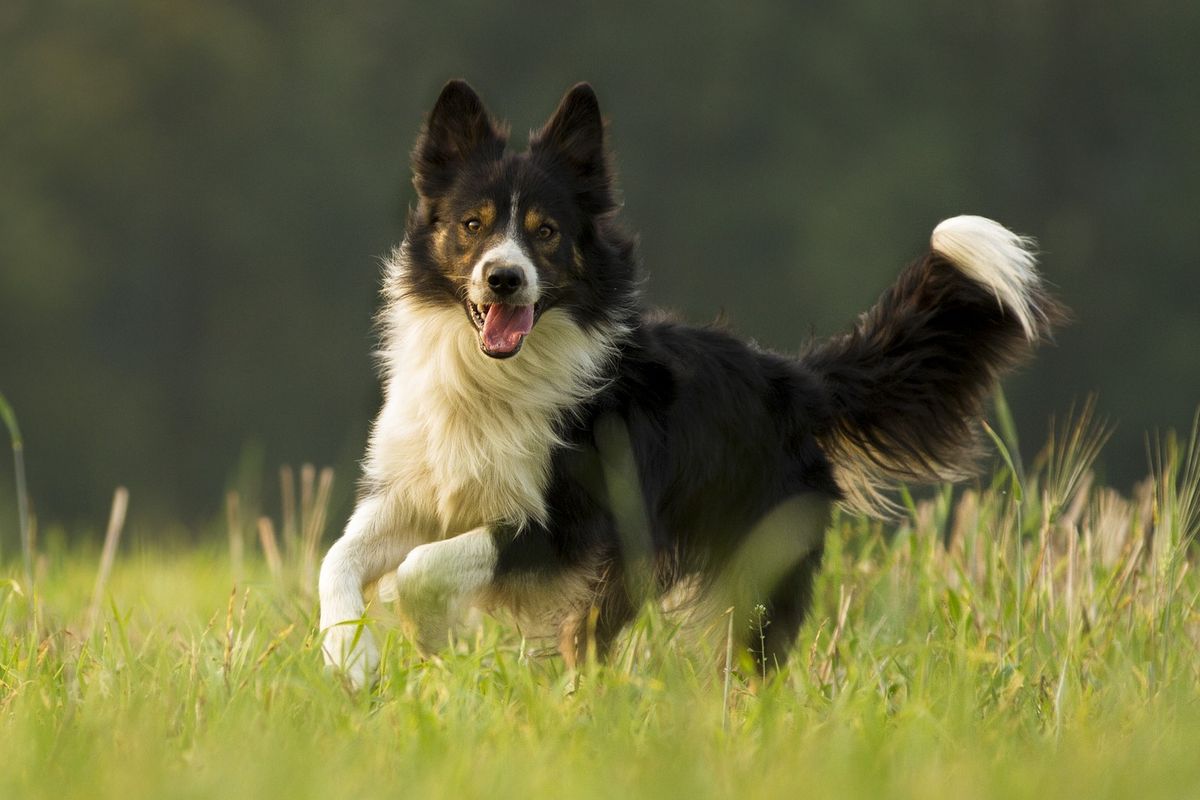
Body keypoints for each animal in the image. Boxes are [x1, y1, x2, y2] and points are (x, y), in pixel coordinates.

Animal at [316, 79, 1060, 690]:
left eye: (546, 233)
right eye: (473, 224)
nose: (504, 278)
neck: (493, 377)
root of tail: (793, 378)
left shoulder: (568, 523)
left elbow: (423, 567)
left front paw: (429, 635)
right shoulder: (416, 491)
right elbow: (337, 557)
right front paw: (350, 660)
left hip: (740, 564)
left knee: (741, 660)